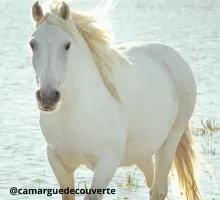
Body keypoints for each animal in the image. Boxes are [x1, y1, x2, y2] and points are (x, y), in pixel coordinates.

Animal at [29, 1, 203, 200]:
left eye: (67, 45)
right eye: (32, 44)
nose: (47, 97)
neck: (73, 112)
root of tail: (174, 57)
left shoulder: (107, 162)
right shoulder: (57, 162)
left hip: (170, 140)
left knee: (158, 189)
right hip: (142, 152)